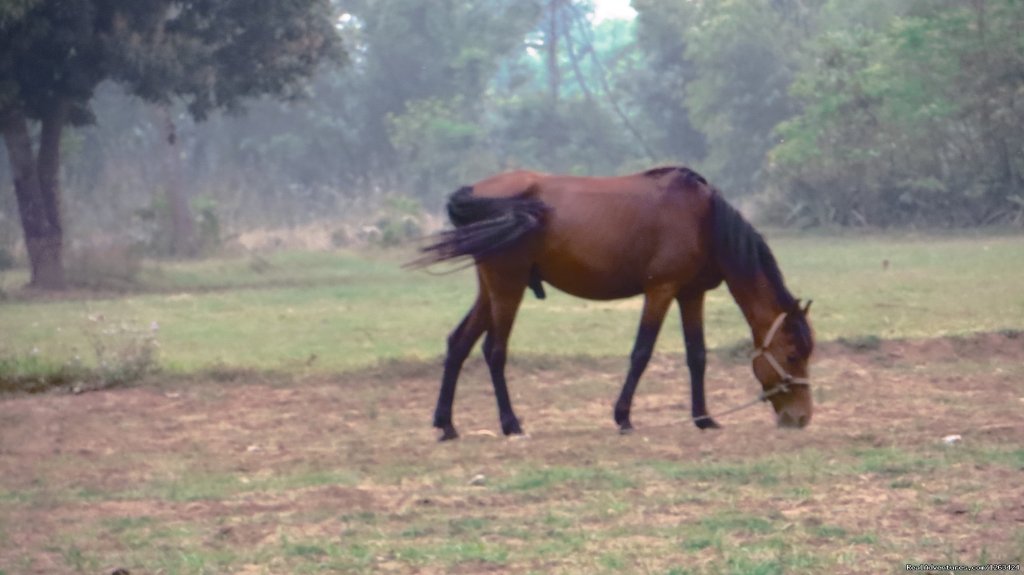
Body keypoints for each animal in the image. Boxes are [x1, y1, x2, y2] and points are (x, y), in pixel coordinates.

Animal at [411, 165, 811, 437]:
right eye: (792, 355)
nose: (802, 417)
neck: (704, 218)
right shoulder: (661, 291)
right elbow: (641, 353)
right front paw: (623, 417)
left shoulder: (690, 294)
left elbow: (697, 356)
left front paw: (704, 418)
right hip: (508, 287)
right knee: (494, 351)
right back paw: (510, 424)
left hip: (490, 289)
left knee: (459, 343)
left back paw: (446, 424)